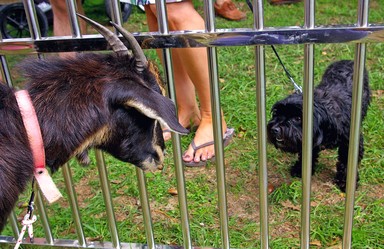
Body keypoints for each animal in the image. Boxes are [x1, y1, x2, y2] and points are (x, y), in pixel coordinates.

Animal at [268, 59, 370, 191]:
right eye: (277, 113)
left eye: (298, 118)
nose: (274, 129)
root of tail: (347, 60)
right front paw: (300, 169)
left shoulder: (349, 142)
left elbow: (347, 162)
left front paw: (345, 182)